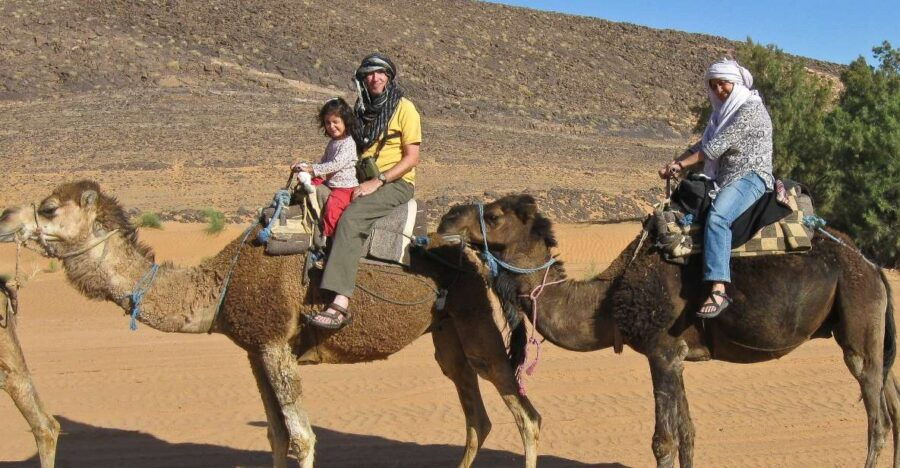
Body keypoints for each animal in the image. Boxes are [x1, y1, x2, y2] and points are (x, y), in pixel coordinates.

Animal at [437, 194, 899, 468]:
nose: (445, 220)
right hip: (875, 329)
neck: (609, 300)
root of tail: (874, 267)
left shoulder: (660, 352)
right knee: (892, 401)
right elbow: (689, 435)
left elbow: (663, 441)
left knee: (876, 420)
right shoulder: (678, 357)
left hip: (858, 319)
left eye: (494, 215)